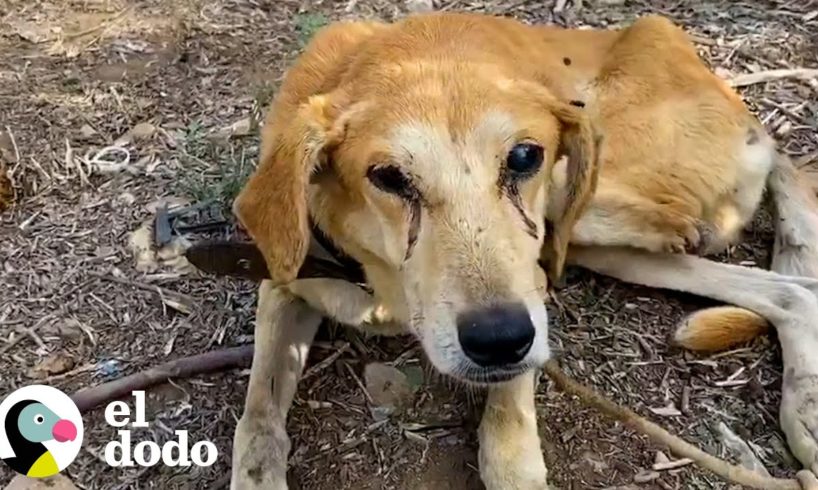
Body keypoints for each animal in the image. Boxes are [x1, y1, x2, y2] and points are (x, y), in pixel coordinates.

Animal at [217, 11, 816, 490]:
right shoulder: (282, 283)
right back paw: (806, 407)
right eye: (387, 177)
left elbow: (509, 446)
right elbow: (257, 417)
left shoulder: (531, 281)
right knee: (793, 291)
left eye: (525, 156)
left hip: (582, 204)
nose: (501, 340)